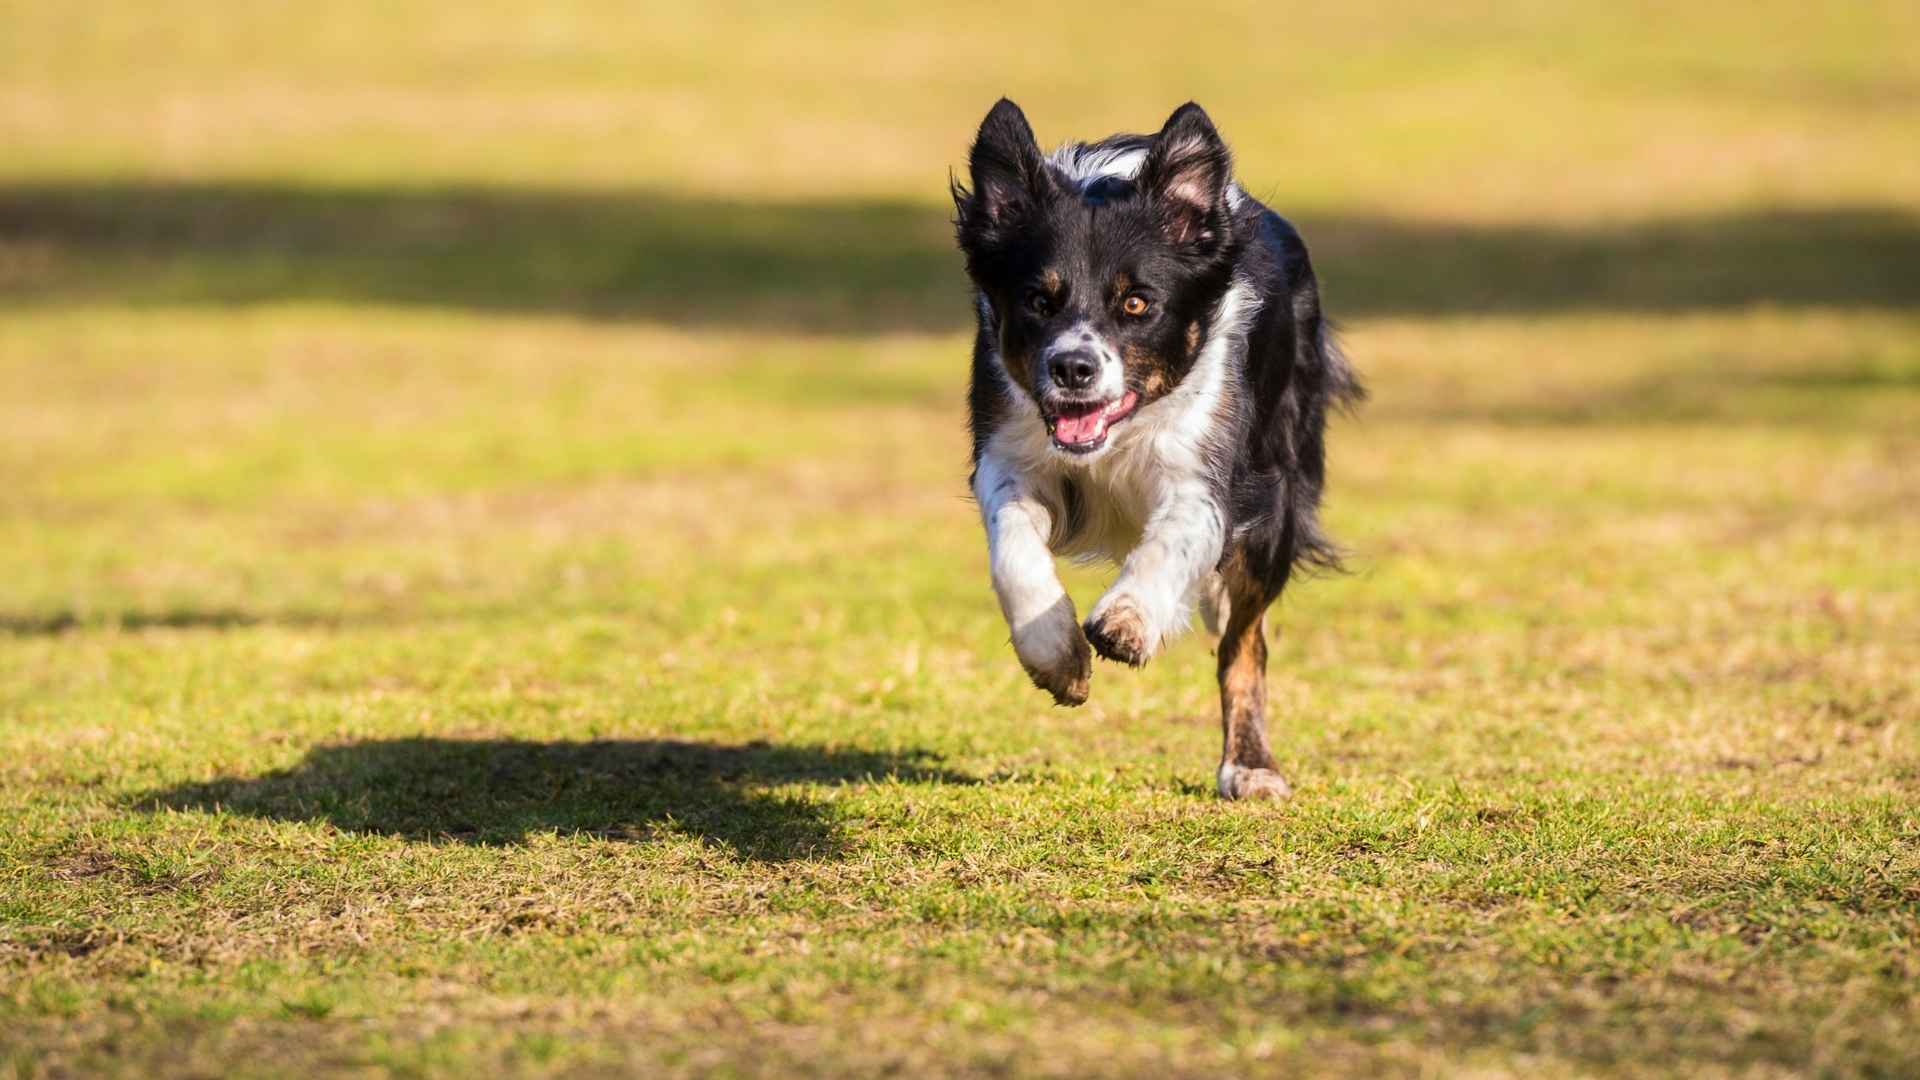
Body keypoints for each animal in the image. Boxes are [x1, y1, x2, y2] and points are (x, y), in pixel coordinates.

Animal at [952, 98, 1359, 799]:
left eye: (1138, 303)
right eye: (1037, 301)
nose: (1073, 368)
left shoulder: (1209, 469)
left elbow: (1173, 542)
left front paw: (1128, 620)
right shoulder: (1007, 451)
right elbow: (1014, 551)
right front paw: (1056, 656)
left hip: (1277, 495)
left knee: (1244, 643)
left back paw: (1250, 766)